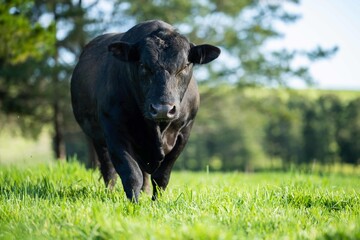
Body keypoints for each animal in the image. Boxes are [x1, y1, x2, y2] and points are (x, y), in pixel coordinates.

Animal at [71, 20, 219, 201]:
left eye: (184, 66)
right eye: (143, 65)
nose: (163, 109)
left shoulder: (184, 132)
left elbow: (161, 176)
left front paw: (156, 202)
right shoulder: (114, 130)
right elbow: (131, 173)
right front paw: (134, 202)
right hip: (96, 138)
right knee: (109, 170)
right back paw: (111, 192)